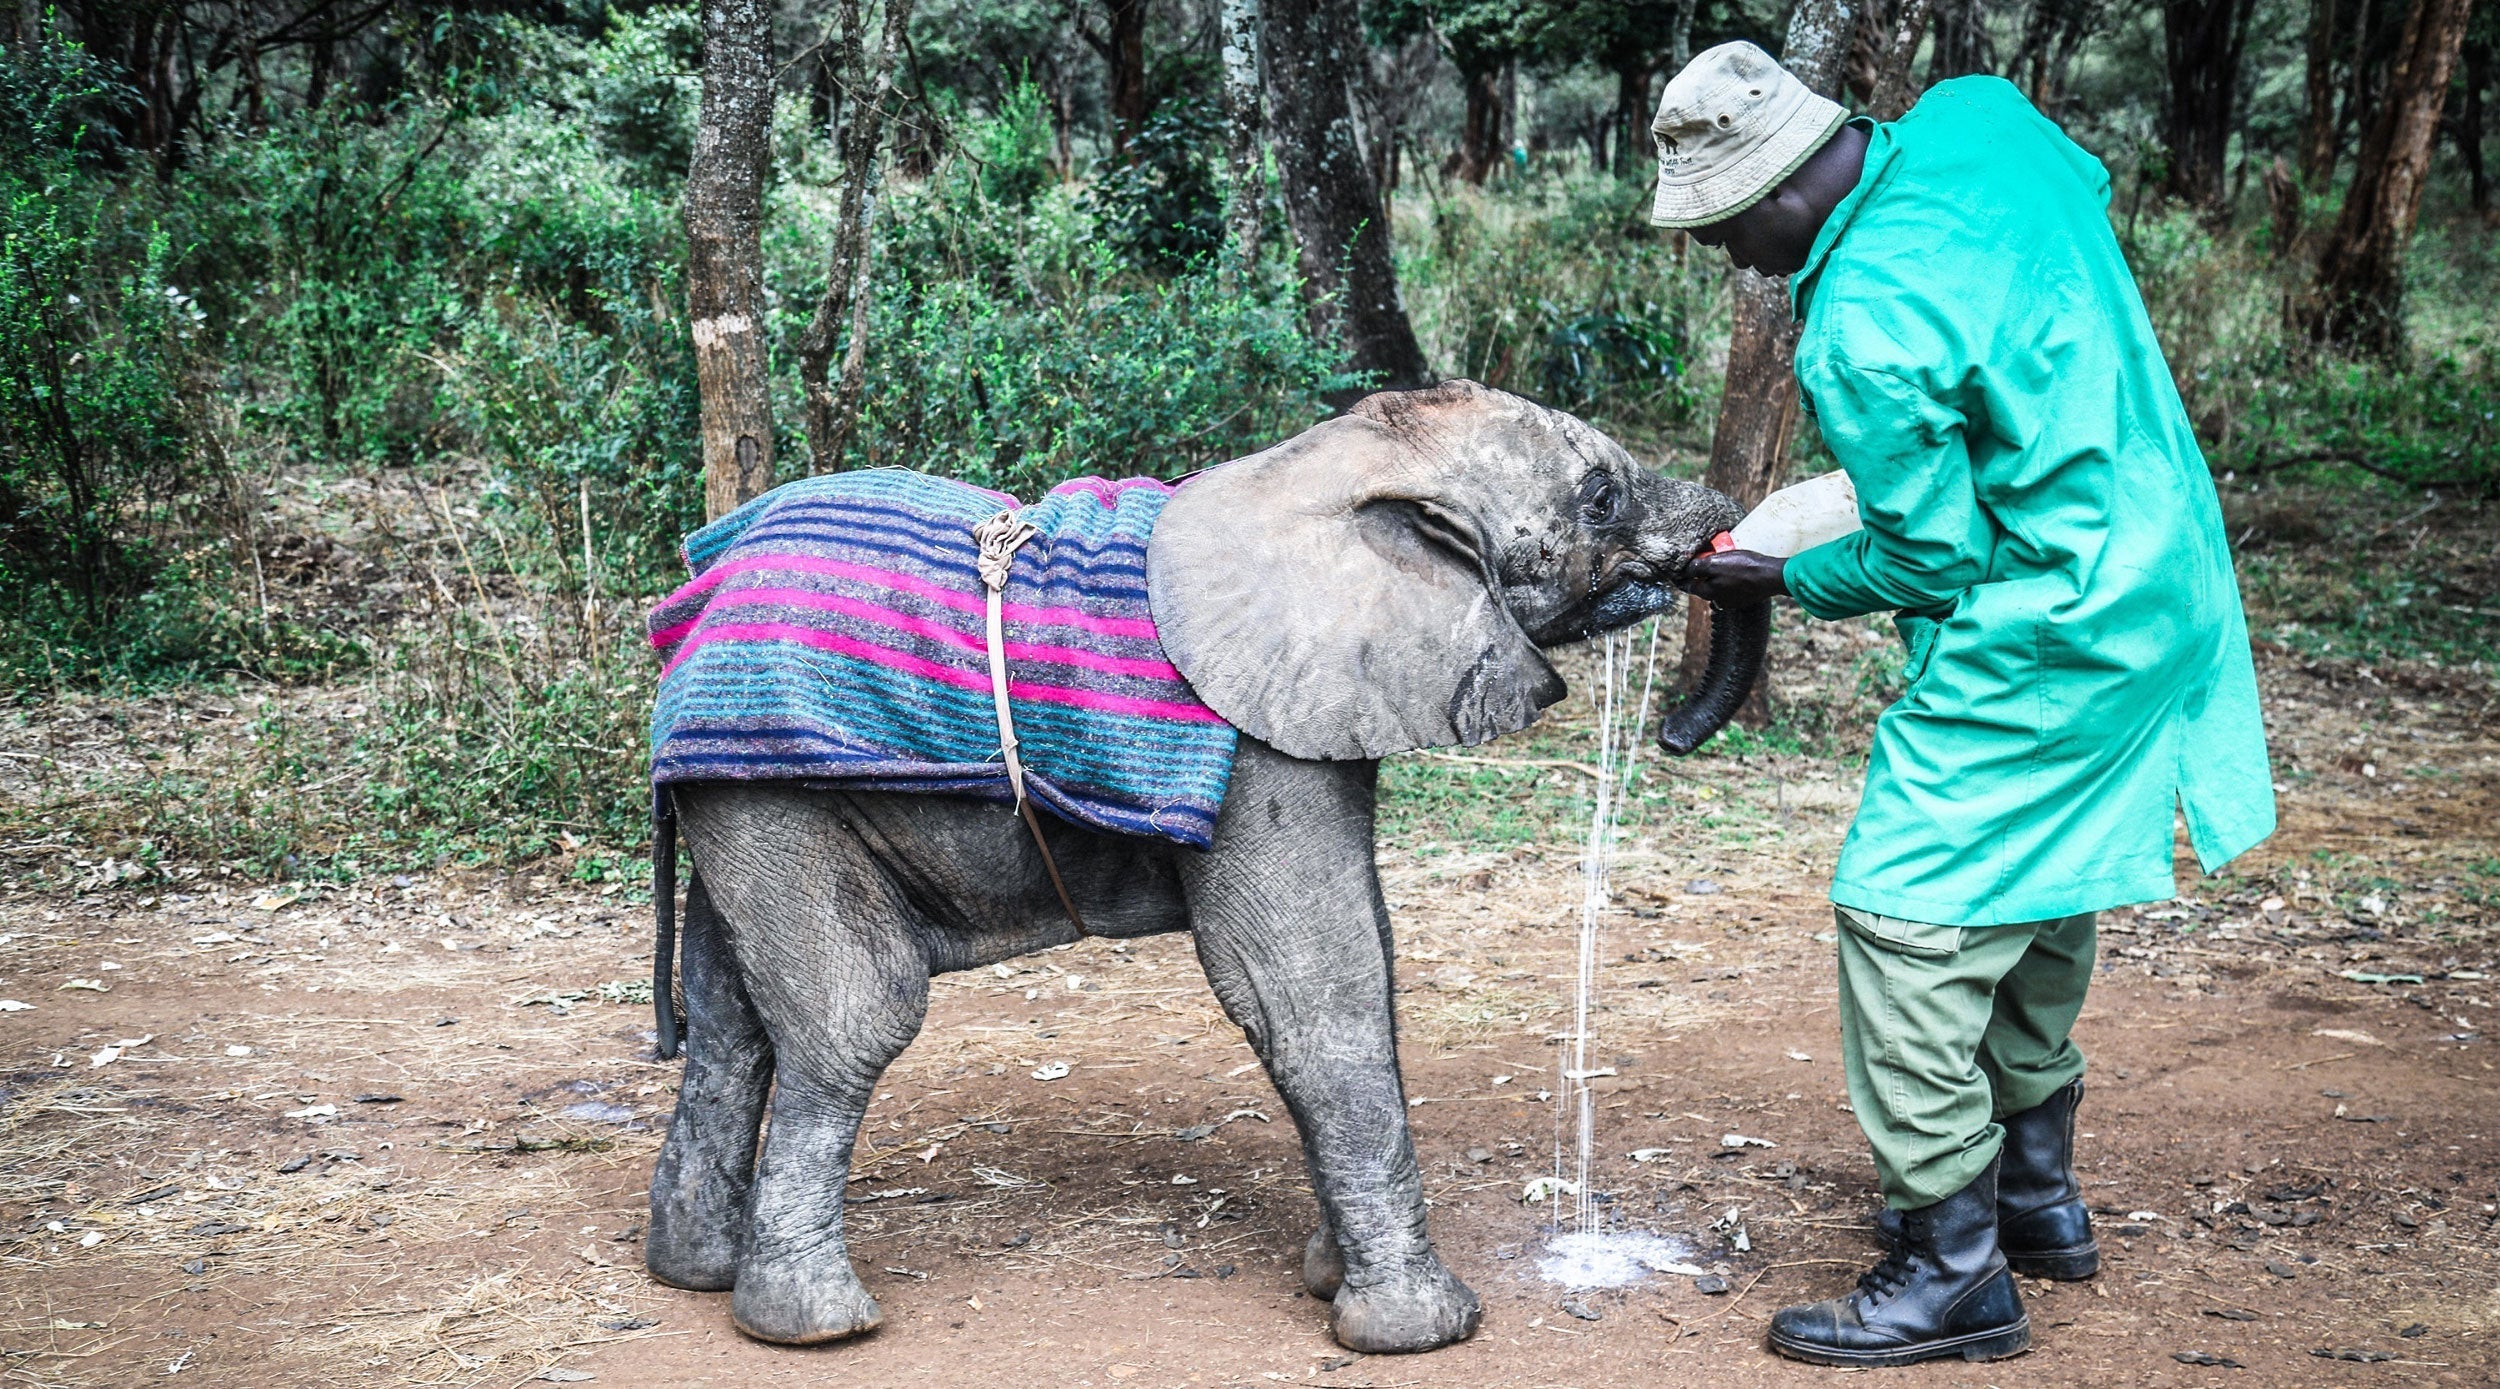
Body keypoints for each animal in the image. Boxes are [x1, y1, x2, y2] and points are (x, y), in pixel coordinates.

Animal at [641, 380, 1770, 1354]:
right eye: (1600, 496)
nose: (1672, 733)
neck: (1332, 463)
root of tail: (690, 599)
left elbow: (1354, 957)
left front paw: (1330, 1279)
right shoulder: (1263, 740)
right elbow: (1310, 990)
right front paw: (1423, 1330)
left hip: (749, 794)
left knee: (731, 1018)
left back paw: (696, 1274)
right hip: (780, 778)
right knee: (855, 1014)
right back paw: (815, 1326)